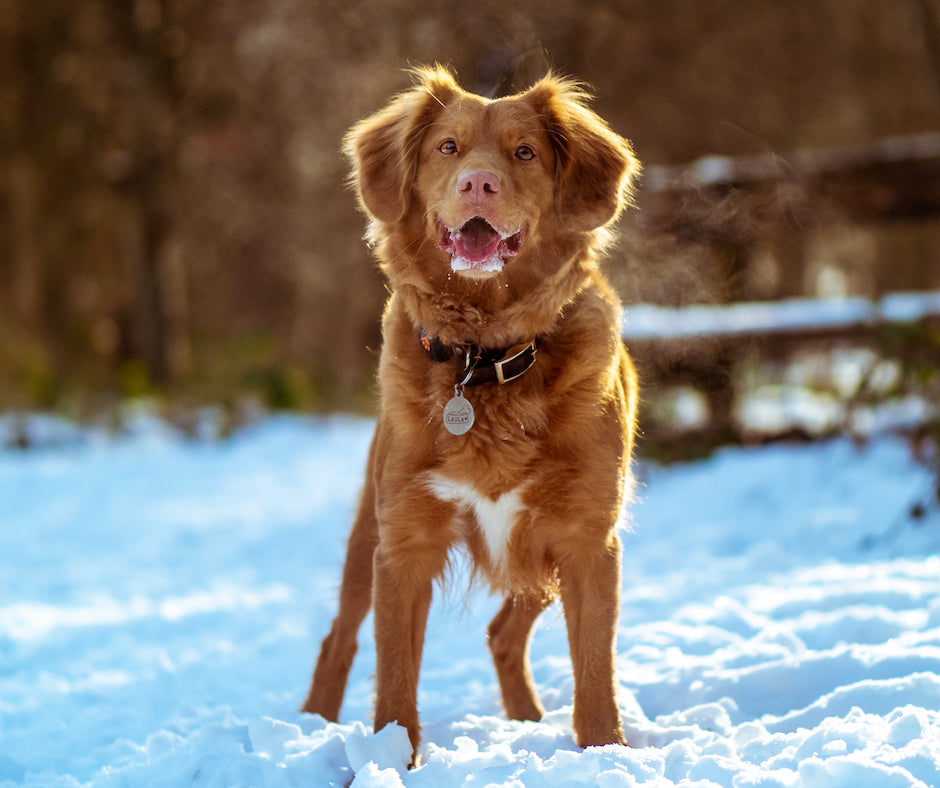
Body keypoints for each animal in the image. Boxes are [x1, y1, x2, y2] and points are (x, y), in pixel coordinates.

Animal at [304, 66, 644, 764]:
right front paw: (390, 762)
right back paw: (312, 722)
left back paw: (526, 721)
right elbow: (395, 679)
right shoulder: (404, 544)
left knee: (502, 633)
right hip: (365, 536)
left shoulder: (586, 539)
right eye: (448, 148)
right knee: (339, 637)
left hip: (537, 560)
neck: (483, 357)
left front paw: (605, 753)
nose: (477, 184)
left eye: (525, 153)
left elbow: (595, 670)